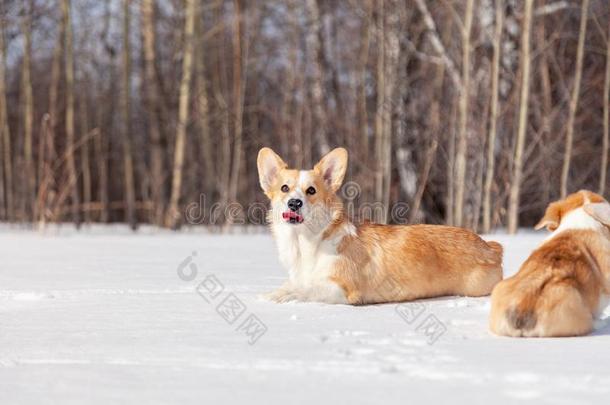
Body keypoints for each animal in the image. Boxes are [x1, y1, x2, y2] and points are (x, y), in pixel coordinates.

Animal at [258, 146, 504, 304]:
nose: (294, 203)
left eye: (311, 190)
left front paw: (285, 296)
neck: (306, 242)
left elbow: (308, 289)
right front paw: (273, 293)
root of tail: (490, 247)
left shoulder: (343, 289)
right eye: (284, 188)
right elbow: (290, 284)